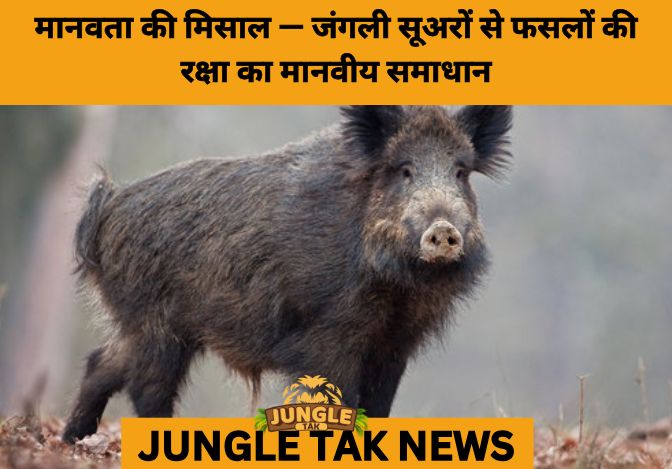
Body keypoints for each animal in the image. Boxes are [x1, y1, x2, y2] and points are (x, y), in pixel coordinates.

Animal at [63, 105, 512, 443]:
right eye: (404, 169)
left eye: (460, 172)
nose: (444, 229)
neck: (396, 289)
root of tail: (109, 203)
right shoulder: (328, 334)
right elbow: (341, 400)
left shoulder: (394, 343)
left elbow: (378, 406)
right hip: (156, 325)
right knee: (146, 387)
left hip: (145, 325)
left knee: (102, 363)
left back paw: (73, 440)